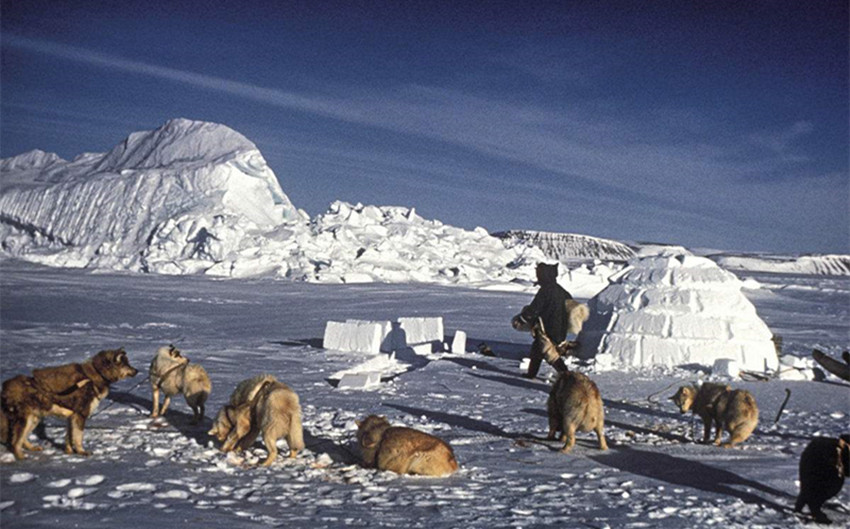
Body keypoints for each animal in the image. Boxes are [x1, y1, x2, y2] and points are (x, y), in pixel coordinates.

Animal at [1, 346, 137, 458]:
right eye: (126, 364)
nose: (137, 371)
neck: (94, 376)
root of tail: (6, 387)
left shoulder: (72, 417)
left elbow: (69, 437)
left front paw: (69, 451)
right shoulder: (80, 415)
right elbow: (78, 437)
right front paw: (82, 451)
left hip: (34, 418)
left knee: (22, 438)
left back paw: (32, 448)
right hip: (26, 419)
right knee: (15, 442)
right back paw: (21, 457)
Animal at [532, 320, 608, 452]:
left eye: (543, 338)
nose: (536, 328)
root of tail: (589, 406)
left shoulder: (554, 408)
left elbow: (553, 425)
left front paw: (551, 438)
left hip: (569, 420)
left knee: (571, 439)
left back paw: (562, 449)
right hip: (599, 420)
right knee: (601, 436)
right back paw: (603, 448)